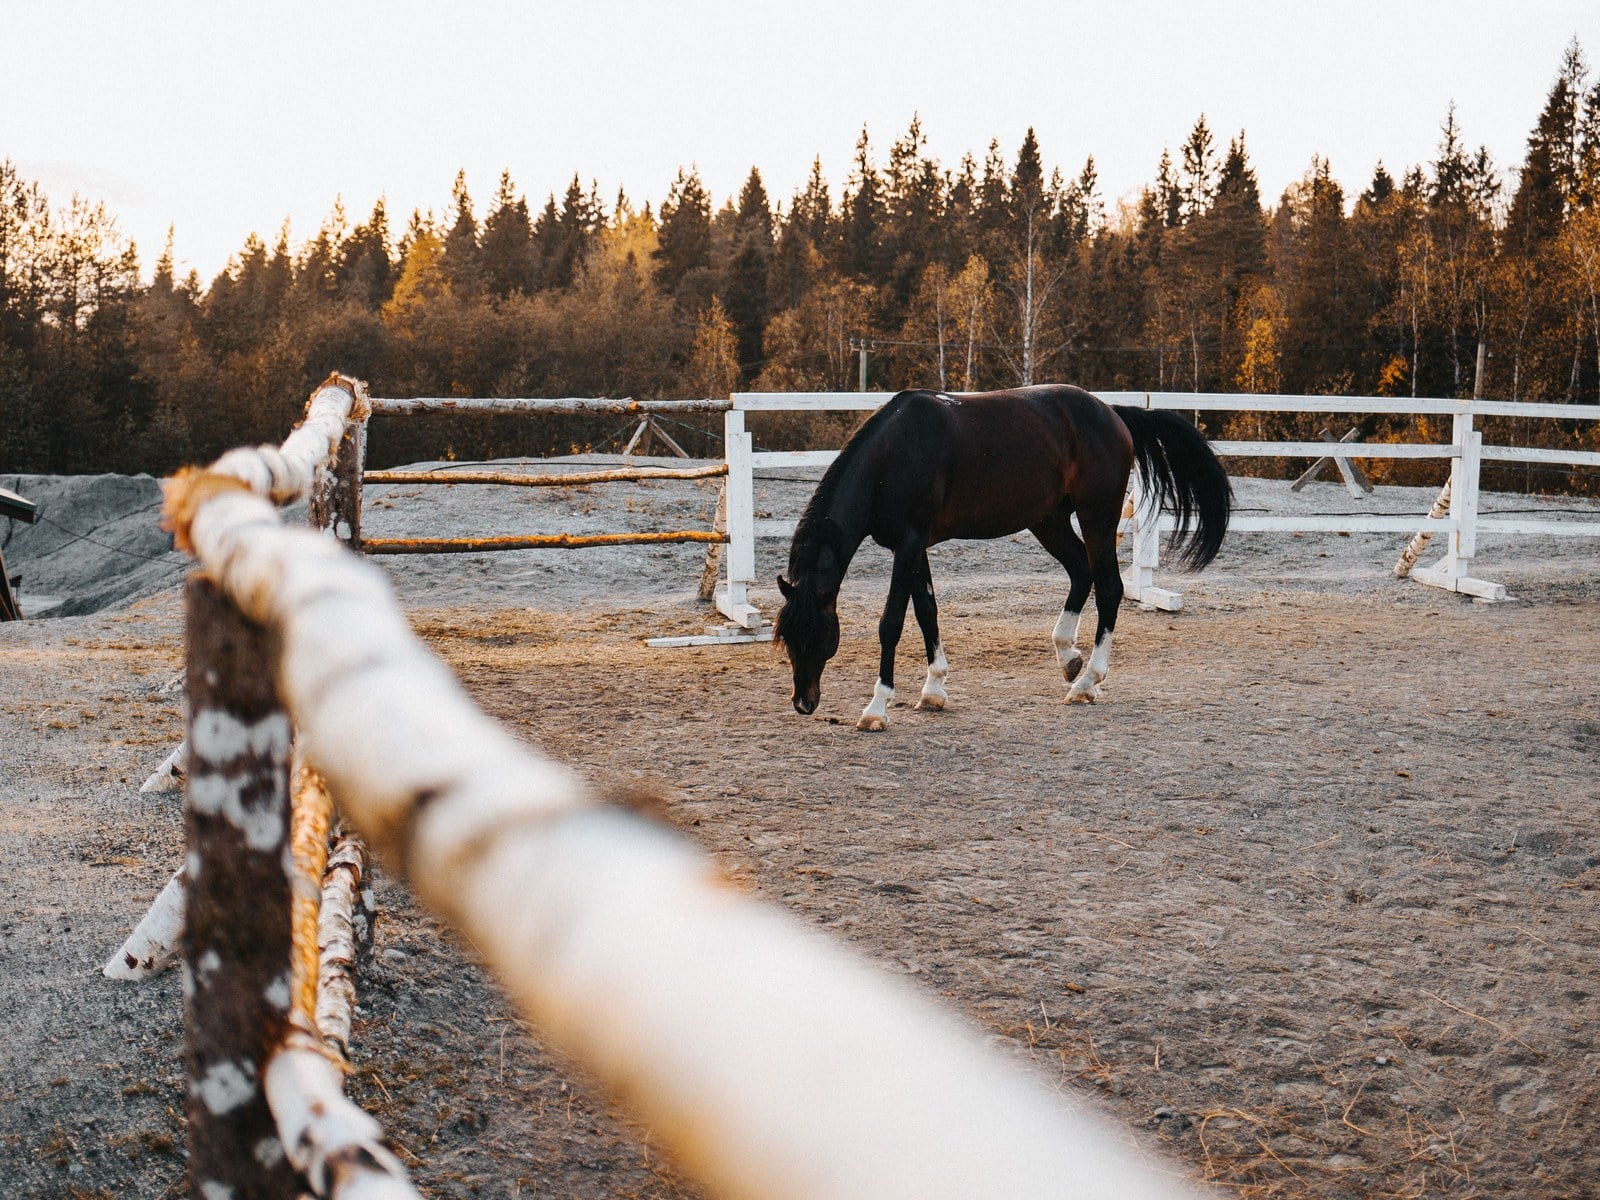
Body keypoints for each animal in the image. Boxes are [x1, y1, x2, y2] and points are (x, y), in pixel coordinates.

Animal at [773, 384, 1232, 730]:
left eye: (820, 635)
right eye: (788, 638)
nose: (803, 703)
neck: (894, 455)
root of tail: (1111, 413)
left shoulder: (907, 545)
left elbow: (892, 623)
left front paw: (877, 708)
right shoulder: (915, 548)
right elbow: (927, 612)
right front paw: (934, 689)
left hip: (1096, 517)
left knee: (1109, 588)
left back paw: (1087, 682)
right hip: (1049, 519)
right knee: (1081, 573)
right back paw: (1068, 656)